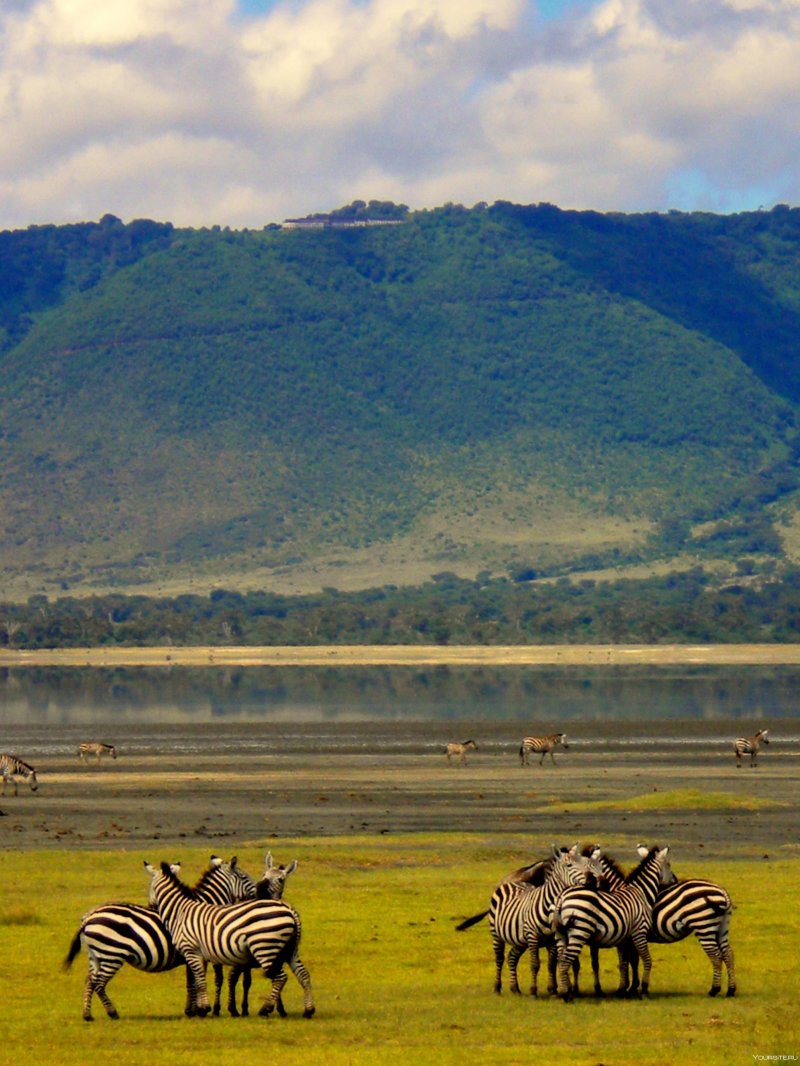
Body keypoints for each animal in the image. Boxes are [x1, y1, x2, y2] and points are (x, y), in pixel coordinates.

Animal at [63, 852, 254, 1019]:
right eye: (245, 878)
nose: (256, 894)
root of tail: (89, 917)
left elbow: (190, 982)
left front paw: (190, 1010)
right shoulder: (197, 952)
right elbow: (196, 981)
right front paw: (197, 1010)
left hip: (95, 955)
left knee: (89, 981)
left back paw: (87, 1014)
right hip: (112, 954)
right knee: (98, 983)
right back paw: (112, 1012)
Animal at [146, 857, 315, 1014]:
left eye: (280, 879)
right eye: (262, 875)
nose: (260, 891)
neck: (180, 909)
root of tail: (289, 911)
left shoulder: (196, 952)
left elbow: (203, 980)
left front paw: (203, 1009)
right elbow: (203, 980)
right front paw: (204, 1008)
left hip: (265, 949)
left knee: (280, 977)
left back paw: (266, 1009)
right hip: (289, 950)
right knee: (303, 974)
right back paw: (308, 1010)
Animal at [456, 840, 601, 997]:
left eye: (584, 864)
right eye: (569, 865)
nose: (592, 880)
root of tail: (511, 882)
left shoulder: (553, 939)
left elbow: (552, 964)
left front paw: (552, 990)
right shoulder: (533, 936)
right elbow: (535, 964)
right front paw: (533, 991)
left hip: (519, 939)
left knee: (512, 957)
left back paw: (515, 988)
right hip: (497, 934)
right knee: (500, 958)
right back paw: (497, 987)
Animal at [550, 840, 678, 997]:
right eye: (669, 864)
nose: (675, 881)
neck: (641, 892)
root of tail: (562, 896)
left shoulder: (623, 938)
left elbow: (624, 962)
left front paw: (624, 989)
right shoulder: (639, 932)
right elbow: (646, 960)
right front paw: (642, 989)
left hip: (561, 934)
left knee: (561, 960)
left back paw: (565, 991)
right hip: (579, 932)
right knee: (565, 961)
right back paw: (566, 995)